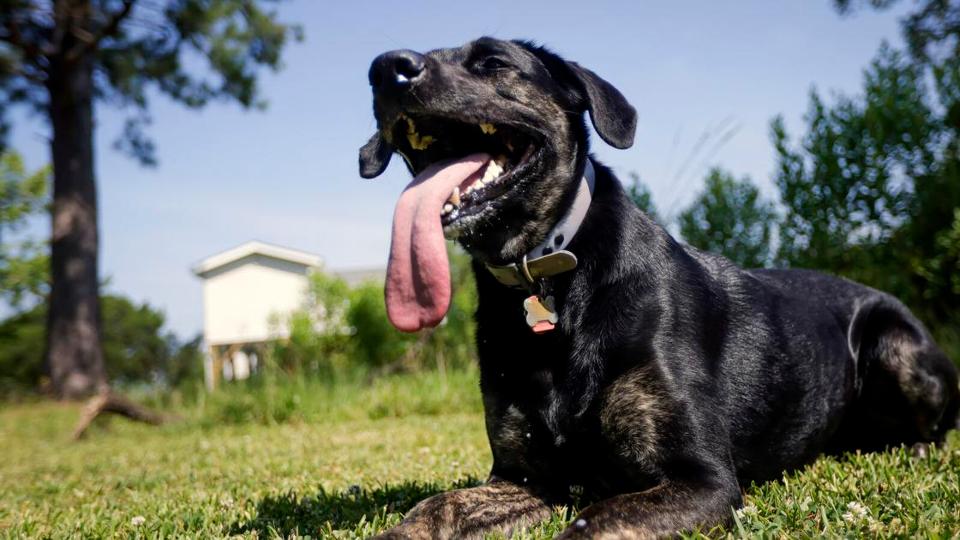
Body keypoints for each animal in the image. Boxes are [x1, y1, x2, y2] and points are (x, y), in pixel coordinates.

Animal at [358, 37, 952, 536]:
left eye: (493, 62)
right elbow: (437, 505)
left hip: (895, 345)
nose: (387, 69)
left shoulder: (703, 480)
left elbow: (592, 522)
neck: (551, 274)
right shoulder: (525, 480)